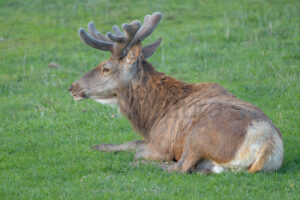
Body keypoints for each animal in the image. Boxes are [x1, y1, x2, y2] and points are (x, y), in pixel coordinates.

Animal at [69, 12, 284, 173]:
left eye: (106, 68)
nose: (72, 87)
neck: (151, 118)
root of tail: (267, 147)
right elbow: (131, 141)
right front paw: (98, 146)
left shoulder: (161, 143)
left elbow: (138, 150)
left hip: (198, 136)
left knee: (179, 167)